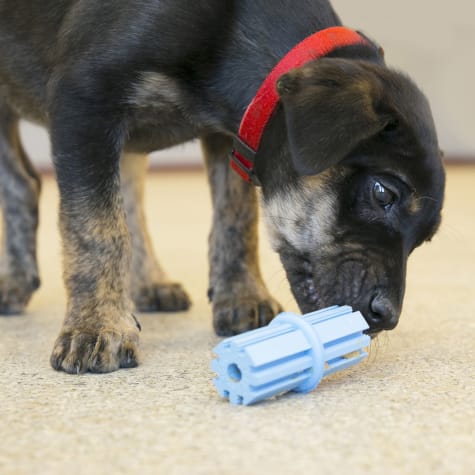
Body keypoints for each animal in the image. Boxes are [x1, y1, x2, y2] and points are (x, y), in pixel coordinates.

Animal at [0, 0, 446, 374]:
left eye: (424, 239)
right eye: (383, 193)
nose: (387, 316)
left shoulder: (233, 135)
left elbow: (236, 217)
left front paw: (241, 296)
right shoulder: (84, 104)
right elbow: (97, 228)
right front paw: (98, 326)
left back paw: (147, 282)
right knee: (28, 184)